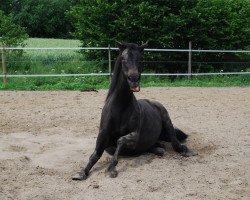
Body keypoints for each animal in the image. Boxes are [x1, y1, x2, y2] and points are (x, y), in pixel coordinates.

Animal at [71, 41, 196, 180]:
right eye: (123, 59)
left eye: (140, 59)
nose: (134, 80)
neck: (120, 108)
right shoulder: (103, 136)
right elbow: (95, 154)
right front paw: (82, 172)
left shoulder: (135, 136)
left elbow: (120, 140)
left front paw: (111, 168)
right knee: (157, 146)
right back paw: (159, 148)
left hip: (167, 122)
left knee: (175, 142)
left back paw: (185, 151)